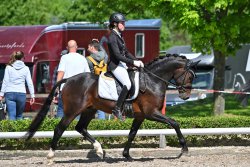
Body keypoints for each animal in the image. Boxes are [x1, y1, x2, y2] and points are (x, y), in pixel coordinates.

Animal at [24, 54, 199, 161]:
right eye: (190, 76)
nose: (185, 96)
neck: (152, 80)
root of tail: (69, 79)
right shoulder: (151, 113)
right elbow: (175, 123)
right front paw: (184, 149)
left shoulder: (140, 116)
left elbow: (132, 134)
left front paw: (126, 155)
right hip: (72, 110)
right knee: (59, 129)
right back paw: (51, 155)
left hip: (90, 109)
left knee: (81, 128)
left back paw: (100, 150)